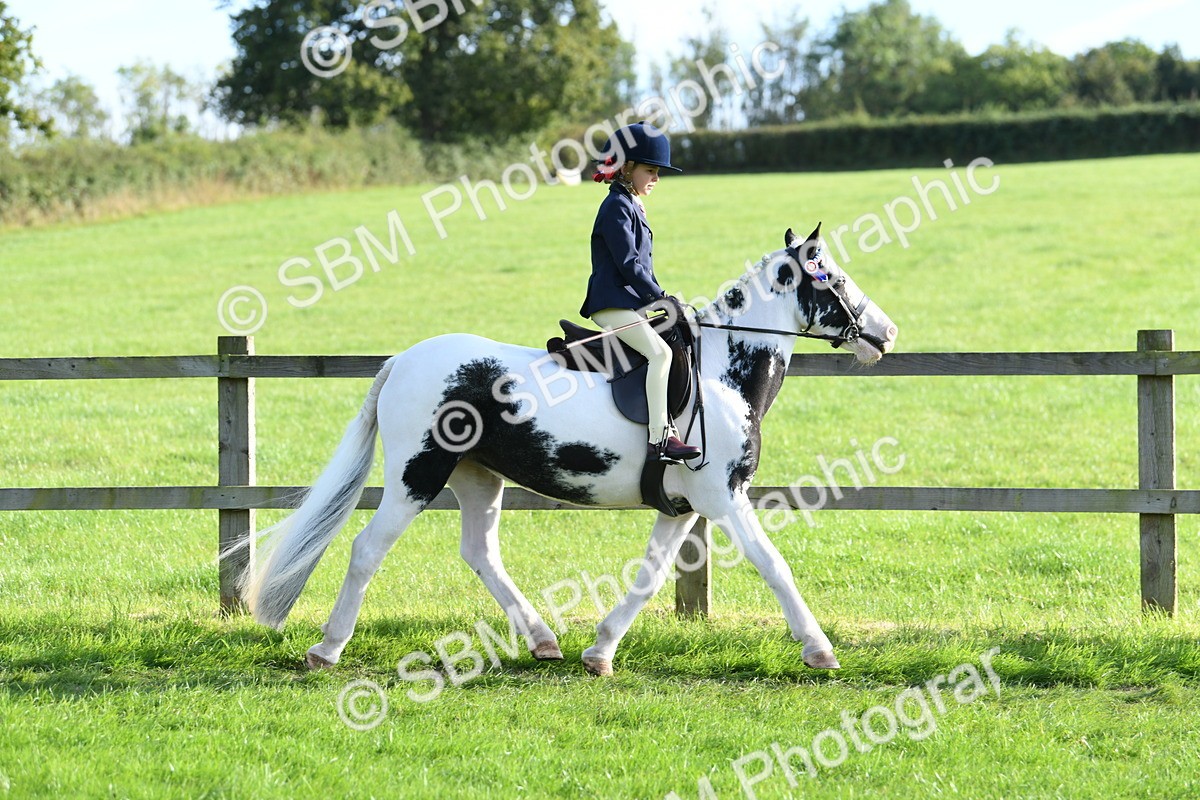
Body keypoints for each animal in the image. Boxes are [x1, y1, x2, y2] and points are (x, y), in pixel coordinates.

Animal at [235, 223, 898, 676]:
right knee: (368, 550)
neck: (721, 371)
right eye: (835, 278)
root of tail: (403, 360)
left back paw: (542, 639)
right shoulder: (723, 498)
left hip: (478, 477)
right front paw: (819, 649)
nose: (886, 333)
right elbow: (774, 565)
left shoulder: (681, 508)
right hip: (417, 474)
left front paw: (600, 651)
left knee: (480, 552)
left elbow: (649, 578)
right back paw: (327, 648)